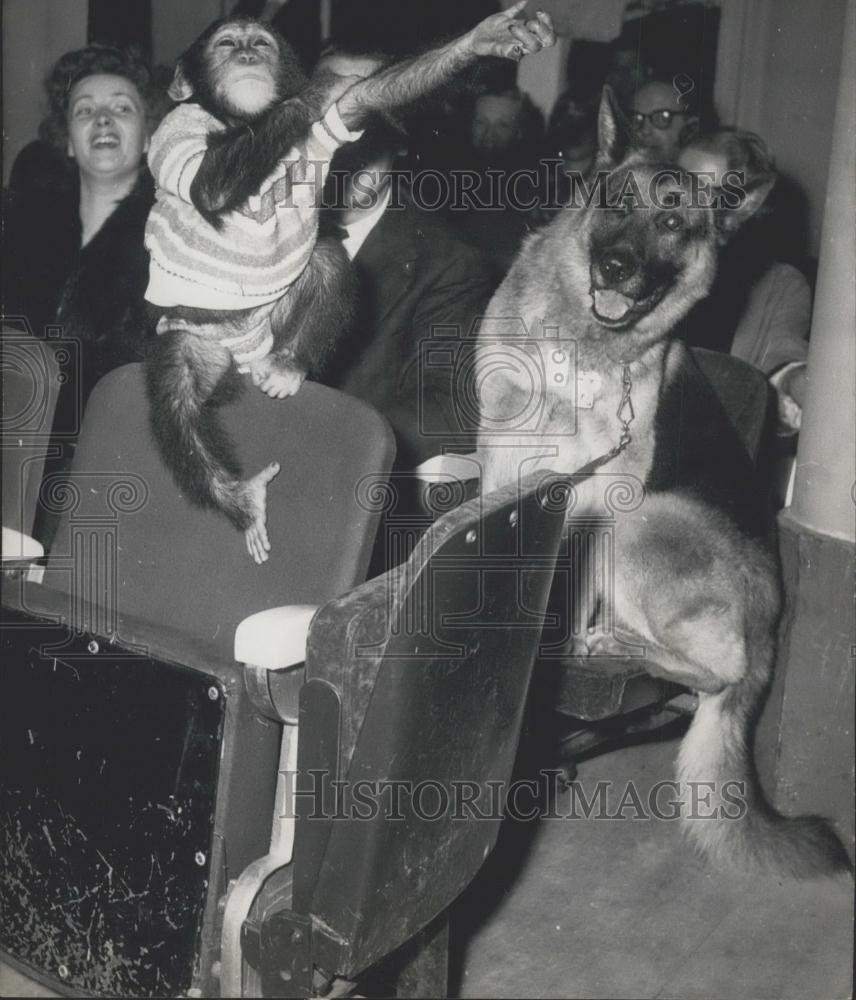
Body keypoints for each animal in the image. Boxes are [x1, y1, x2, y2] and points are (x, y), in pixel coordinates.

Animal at [474, 90, 848, 880]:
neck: (583, 346)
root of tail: (770, 632)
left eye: (674, 224)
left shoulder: (592, 498)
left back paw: (613, 646)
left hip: (645, 517)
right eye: (618, 205)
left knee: (711, 674)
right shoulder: (499, 463)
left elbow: (566, 595)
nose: (616, 267)